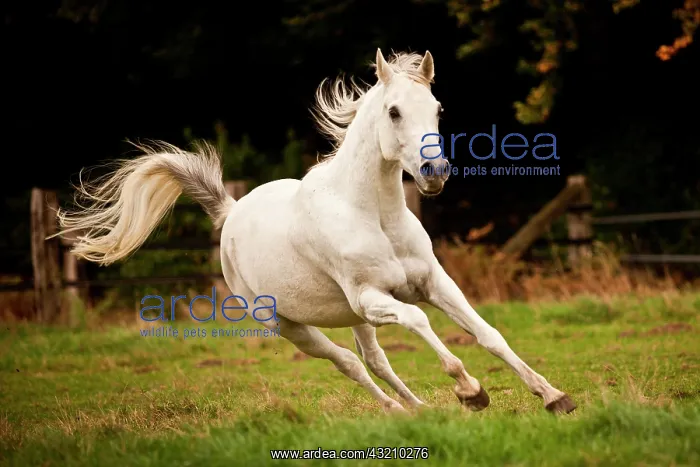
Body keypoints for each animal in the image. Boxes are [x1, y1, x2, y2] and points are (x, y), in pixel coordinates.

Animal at [53, 49, 576, 414]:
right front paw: (470, 391)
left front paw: (554, 397)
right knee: (349, 363)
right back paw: (395, 411)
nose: (434, 173)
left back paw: (420, 410)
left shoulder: (431, 283)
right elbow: (419, 322)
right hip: (292, 325)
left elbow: (489, 334)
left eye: (438, 108)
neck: (374, 214)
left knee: (375, 360)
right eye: (393, 111)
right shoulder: (372, 298)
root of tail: (231, 213)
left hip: (352, 315)